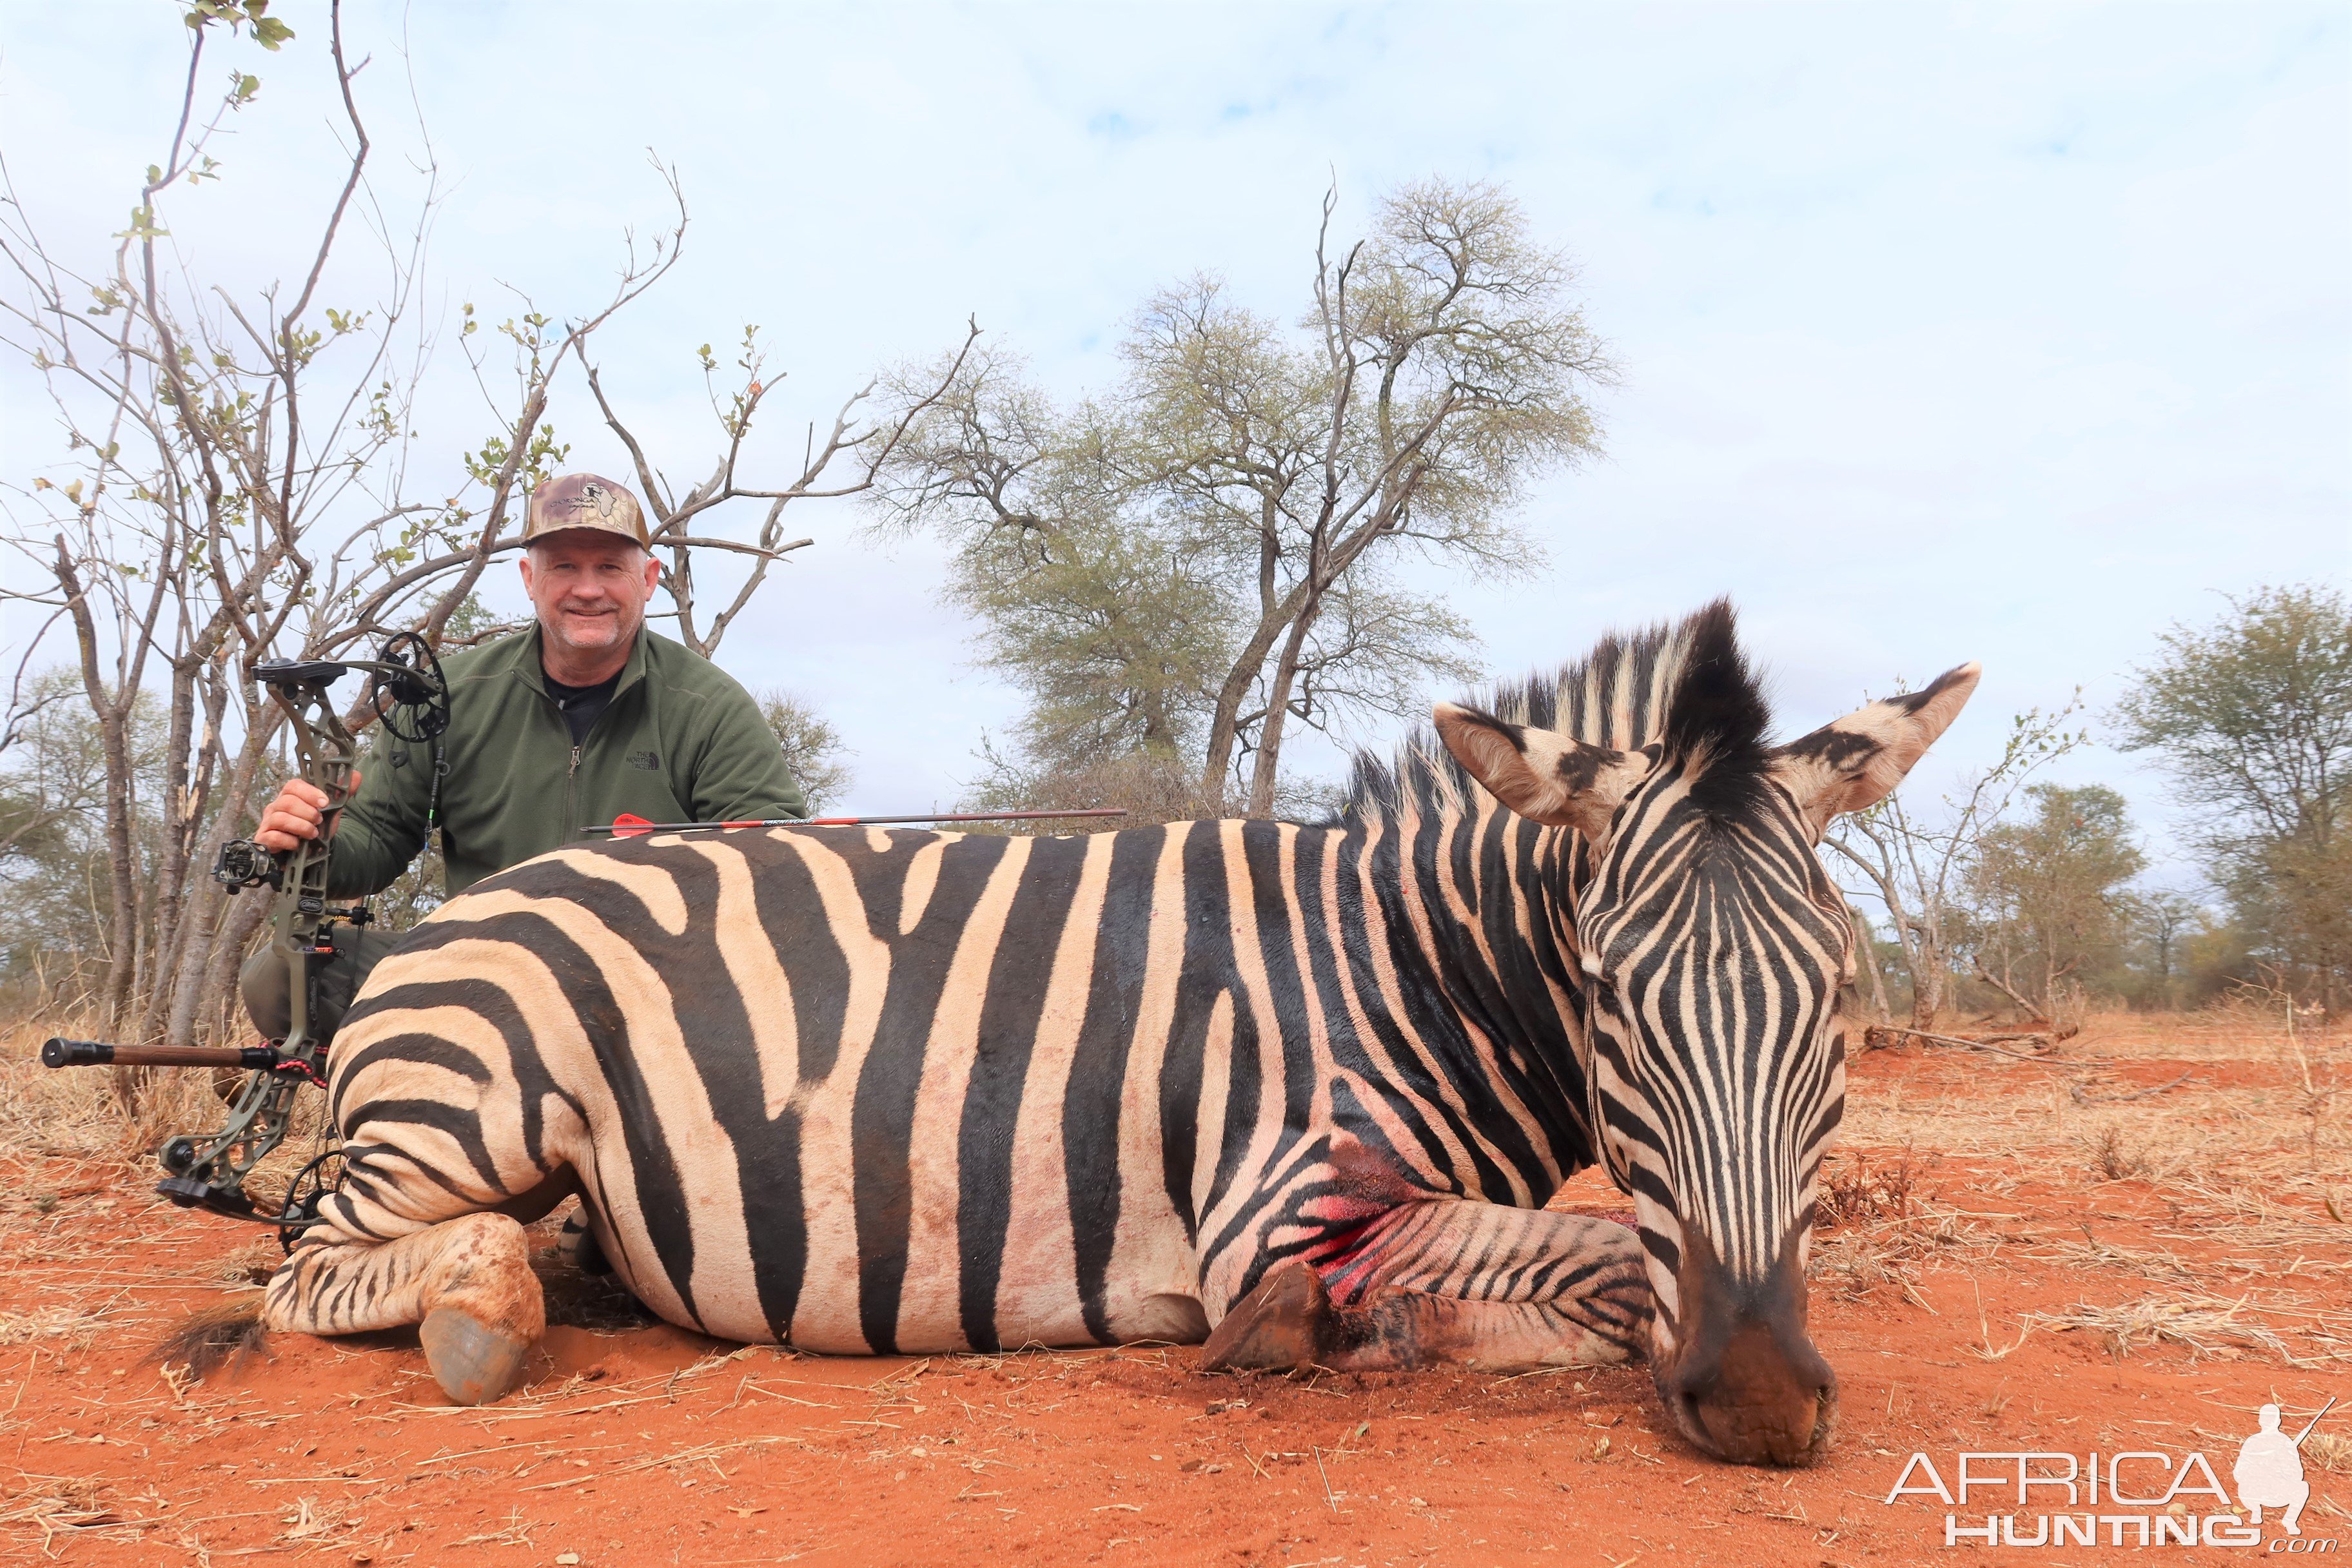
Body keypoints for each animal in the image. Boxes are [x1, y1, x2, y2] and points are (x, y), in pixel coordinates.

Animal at [267, 606, 1975, 1476]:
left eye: (1837, 1003)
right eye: (1612, 993)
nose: (1760, 1400)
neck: (1404, 959)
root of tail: (453, 911)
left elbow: (1610, 1266)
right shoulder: (1275, 1207)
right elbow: (1616, 1263)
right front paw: (1336, 1334)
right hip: (474, 1104)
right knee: (316, 1261)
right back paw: (484, 1308)